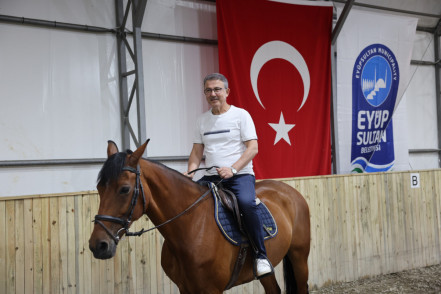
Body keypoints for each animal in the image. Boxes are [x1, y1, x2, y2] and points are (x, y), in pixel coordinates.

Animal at [88, 141, 310, 294]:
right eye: (99, 187)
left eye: (124, 189)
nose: (98, 245)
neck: (191, 227)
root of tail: (290, 191)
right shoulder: (185, 288)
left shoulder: (211, 290)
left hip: (299, 257)